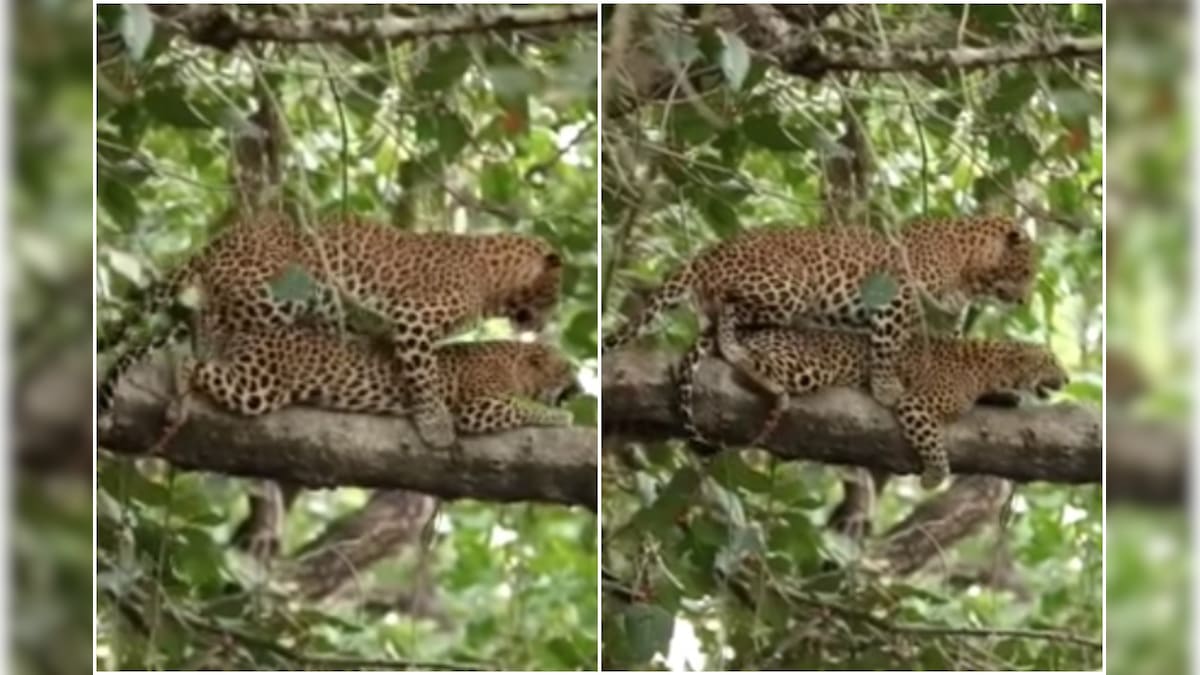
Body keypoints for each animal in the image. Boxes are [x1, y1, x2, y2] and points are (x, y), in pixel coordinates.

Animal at [98, 208, 561, 446]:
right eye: (553, 297)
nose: (545, 323)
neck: (493, 278)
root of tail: (221, 239)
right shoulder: (414, 318)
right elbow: (424, 375)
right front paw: (435, 425)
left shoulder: (388, 325)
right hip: (271, 295)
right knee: (209, 327)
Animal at [604, 214, 1036, 408]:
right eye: (1027, 272)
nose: (1025, 300)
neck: (970, 272)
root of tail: (711, 252)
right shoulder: (897, 298)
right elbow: (886, 347)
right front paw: (885, 388)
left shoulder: (942, 323)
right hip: (792, 284)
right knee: (730, 312)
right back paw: (734, 350)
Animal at [676, 324, 1070, 485]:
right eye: (1052, 361)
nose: (1067, 379)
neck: (994, 367)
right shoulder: (917, 404)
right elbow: (937, 448)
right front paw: (934, 476)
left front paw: (1009, 397)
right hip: (808, 365)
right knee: (741, 359)